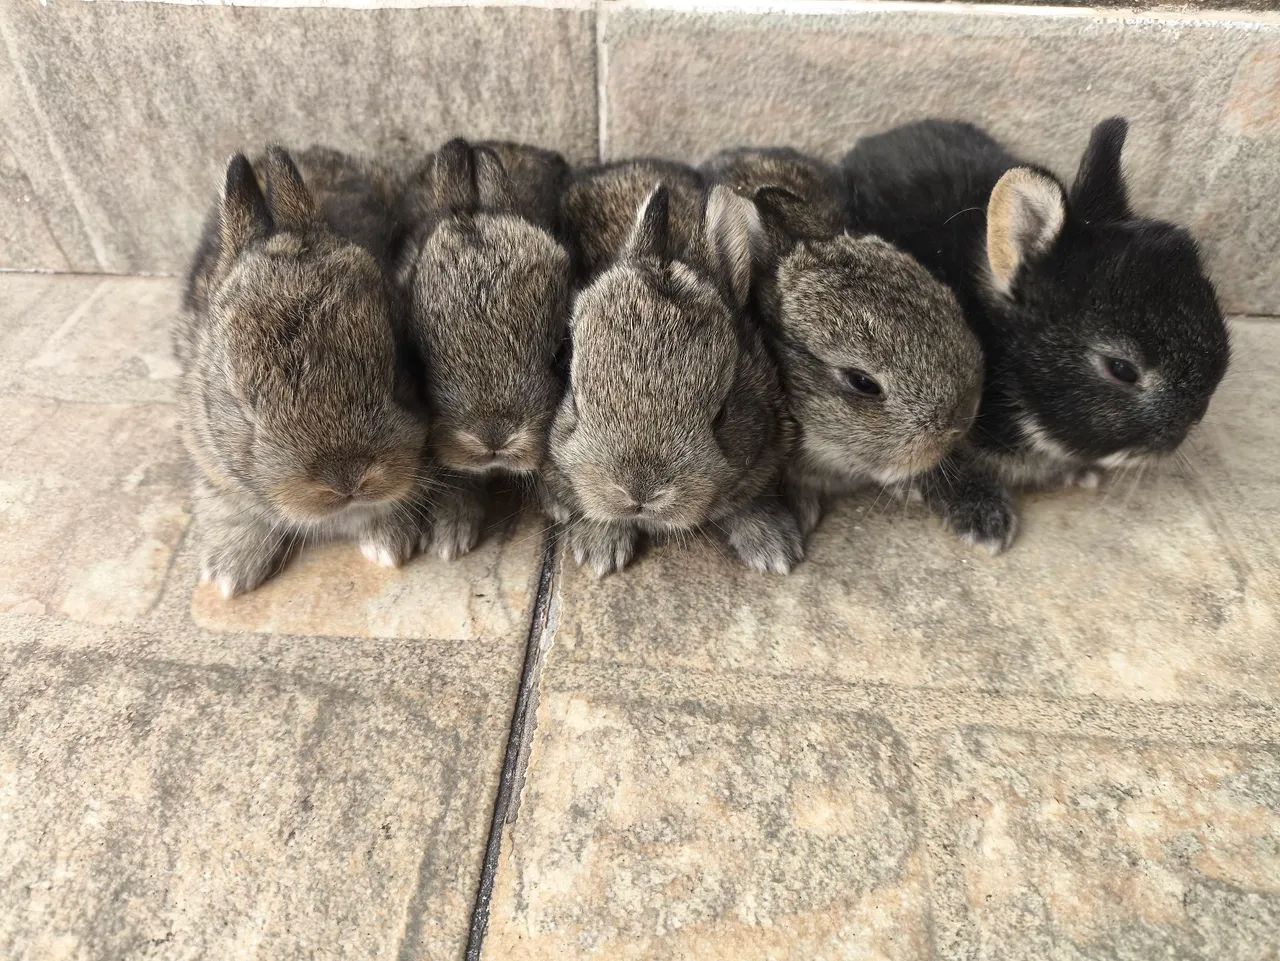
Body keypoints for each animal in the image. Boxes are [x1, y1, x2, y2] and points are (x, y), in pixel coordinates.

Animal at [178, 146, 434, 598]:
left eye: (399, 370)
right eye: (243, 407)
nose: (347, 481)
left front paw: (389, 543)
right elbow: (223, 501)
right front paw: (230, 573)